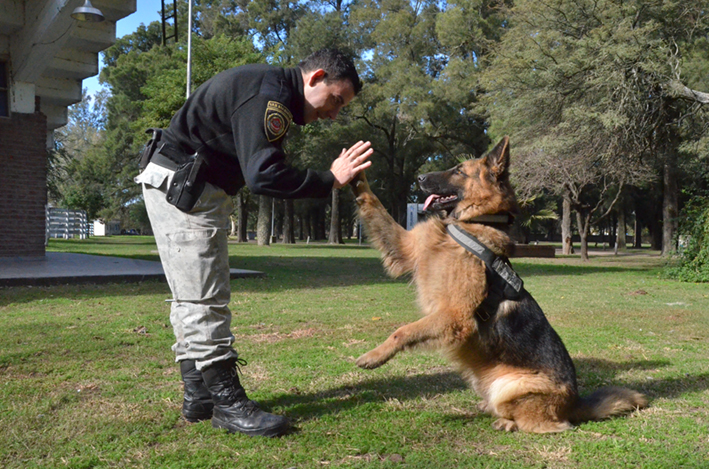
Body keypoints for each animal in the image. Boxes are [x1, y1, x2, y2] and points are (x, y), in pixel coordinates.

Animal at [348, 135, 648, 432]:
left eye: (459, 170)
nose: (420, 178)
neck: (473, 225)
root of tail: (575, 402)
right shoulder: (404, 247)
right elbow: (374, 203)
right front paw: (354, 173)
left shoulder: (455, 316)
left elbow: (402, 331)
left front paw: (374, 356)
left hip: (510, 387)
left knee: (552, 424)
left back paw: (508, 422)